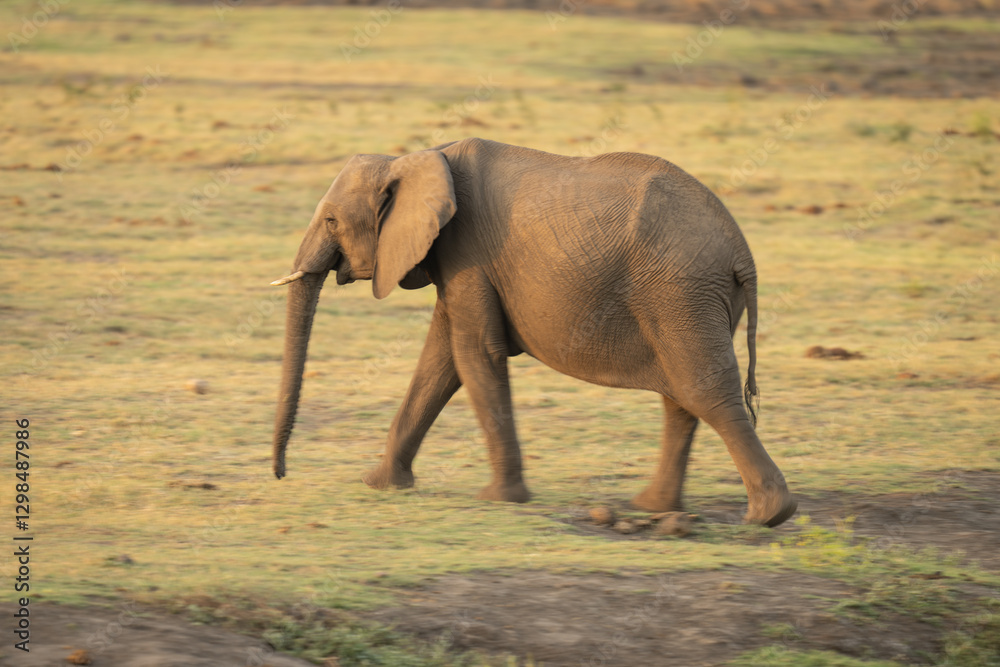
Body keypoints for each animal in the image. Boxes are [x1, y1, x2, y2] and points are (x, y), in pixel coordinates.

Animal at [270, 137, 797, 527]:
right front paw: (378, 483)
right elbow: (441, 361)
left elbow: (474, 353)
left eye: (332, 220)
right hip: (688, 298)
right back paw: (653, 508)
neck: (420, 155)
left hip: (680, 291)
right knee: (681, 395)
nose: (279, 475)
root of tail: (742, 253)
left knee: (703, 390)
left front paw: (500, 499)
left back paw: (768, 515)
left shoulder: (467, 251)